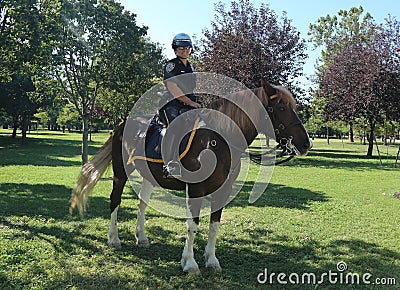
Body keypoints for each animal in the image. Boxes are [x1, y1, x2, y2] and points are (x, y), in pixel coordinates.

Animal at [69, 77, 312, 274]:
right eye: (281, 106)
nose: (306, 144)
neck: (218, 141)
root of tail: (121, 126)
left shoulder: (223, 191)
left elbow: (214, 226)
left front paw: (211, 260)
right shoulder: (195, 189)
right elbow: (192, 226)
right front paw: (190, 263)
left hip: (148, 177)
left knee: (142, 204)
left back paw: (142, 237)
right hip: (121, 173)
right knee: (115, 200)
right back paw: (114, 239)